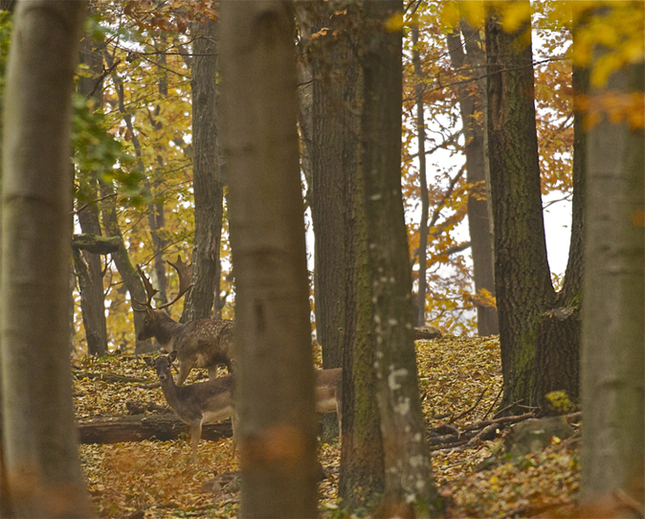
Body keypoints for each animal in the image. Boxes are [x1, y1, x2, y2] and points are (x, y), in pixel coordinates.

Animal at [133, 258, 236, 388]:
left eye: (145, 321)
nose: (139, 335)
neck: (173, 338)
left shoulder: (186, 359)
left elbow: (178, 383)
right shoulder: (212, 364)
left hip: (231, 355)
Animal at [145, 352, 342, 466]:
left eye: (168, 365)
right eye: (155, 365)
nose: (162, 376)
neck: (180, 399)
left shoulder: (196, 416)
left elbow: (194, 442)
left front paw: (194, 465)